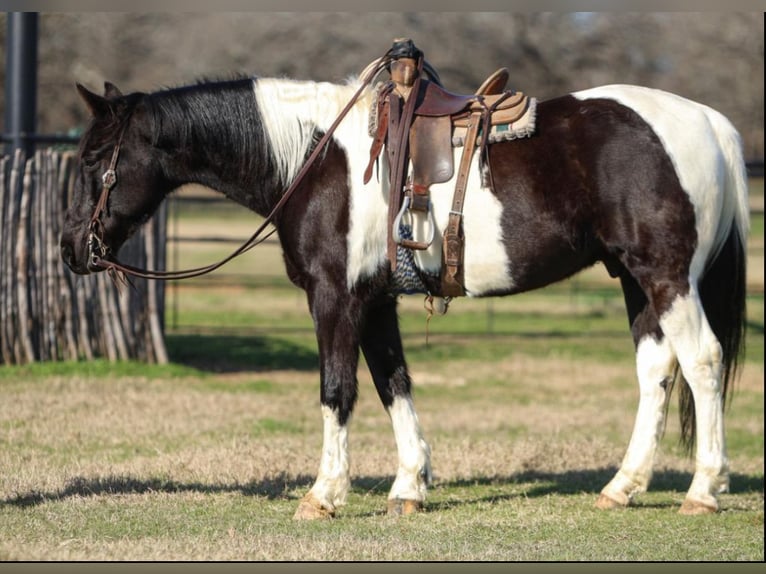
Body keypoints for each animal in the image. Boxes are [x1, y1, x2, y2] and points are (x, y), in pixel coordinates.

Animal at [60, 56, 749, 519]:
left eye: (94, 160)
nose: (70, 248)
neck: (315, 159)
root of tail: (709, 122)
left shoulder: (334, 297)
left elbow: (337, 389)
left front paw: (324, 495)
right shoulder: (376, 301)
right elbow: (393, 382)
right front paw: (410, 486)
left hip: (667, 276)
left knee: (702, 361)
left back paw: (703, 490)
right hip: (636, 281)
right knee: (657, 371)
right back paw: (622, 487)